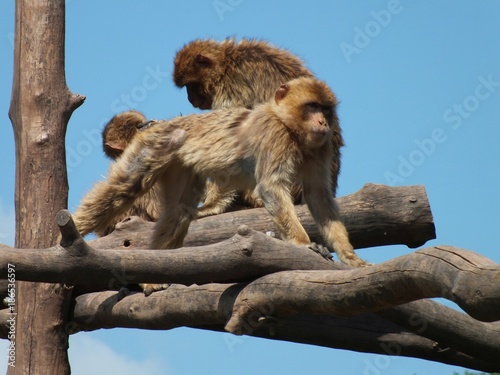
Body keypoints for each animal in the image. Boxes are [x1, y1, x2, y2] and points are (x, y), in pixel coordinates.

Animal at [73, 76, 368, 296]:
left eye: (326, 109)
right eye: (311, 106)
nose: (323, 121)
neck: (289, 127)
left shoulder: (322, 146)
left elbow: (319, 197)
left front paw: (351, 258)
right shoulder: (274, 133)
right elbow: (271, 187)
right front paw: (304, 245)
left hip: (179, 163)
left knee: (179, 211)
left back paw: (151, 277)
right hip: (157, 143)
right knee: (125, 188)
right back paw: (67, 239)